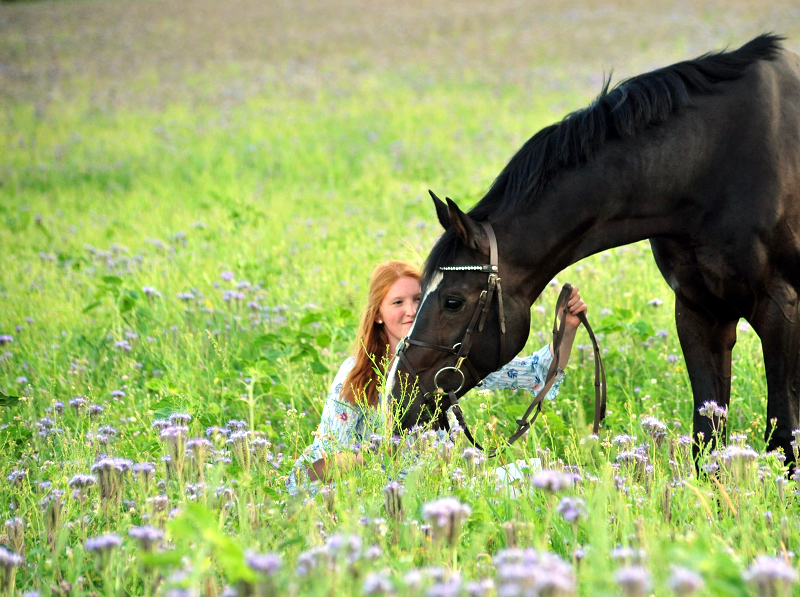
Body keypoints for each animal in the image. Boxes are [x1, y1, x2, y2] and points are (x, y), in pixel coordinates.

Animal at [388, 32, 800, 460]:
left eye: (453, 301)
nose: (398, 399)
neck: (708, 164)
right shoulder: (698, 313)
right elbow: (707, 438)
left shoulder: (780, 308)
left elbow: (783, 435)